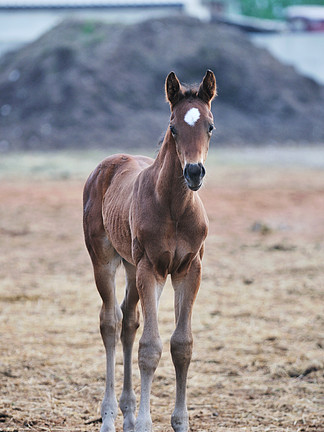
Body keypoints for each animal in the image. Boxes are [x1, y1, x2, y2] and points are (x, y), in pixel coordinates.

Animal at [82, 71, 216, 432]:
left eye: (210, 126)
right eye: (173, 127)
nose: (194, 172)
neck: (174, 208)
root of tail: (107, 164)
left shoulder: (188, 269)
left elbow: (181, 345)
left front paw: (180, 422)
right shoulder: (151, 268)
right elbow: (150, 347)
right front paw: (144, 422)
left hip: (131, 267)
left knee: (129, 321)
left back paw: (127, 413)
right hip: (106, 261)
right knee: (110, 323)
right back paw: (110, 416)